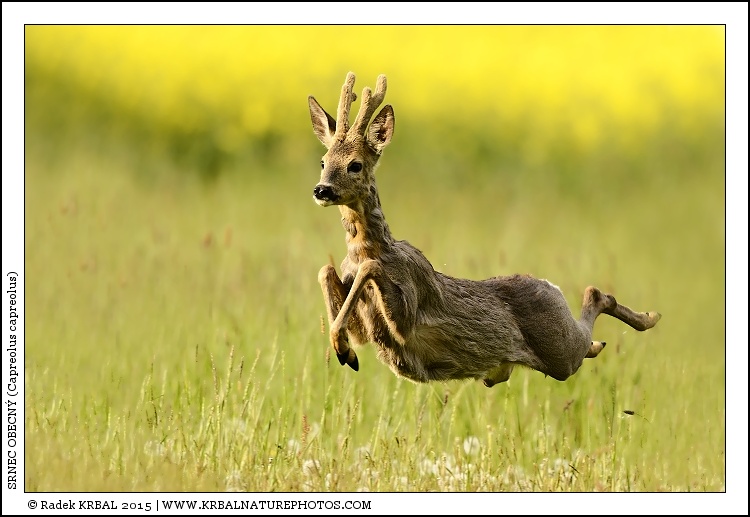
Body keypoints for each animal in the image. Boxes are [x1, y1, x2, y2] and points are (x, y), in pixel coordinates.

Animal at [308, 72, 661, 387]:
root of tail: (550, 286)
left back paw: (648, 318)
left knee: (595, 298)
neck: (370, 247)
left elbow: (370, 269)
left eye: (355, 164)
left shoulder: (409, 309)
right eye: (323, 161)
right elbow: (325, 271)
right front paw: (345, 350)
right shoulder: (365, 327)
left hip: (560, 350)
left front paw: (343, 351)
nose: (322, 190)